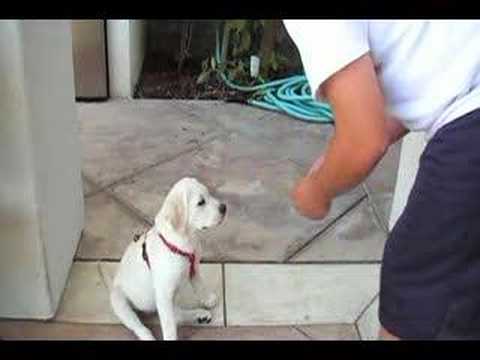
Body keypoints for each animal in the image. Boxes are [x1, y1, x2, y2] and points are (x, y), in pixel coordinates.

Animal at [110, 177, 227, 340]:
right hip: (120, 301)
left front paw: (207, 299)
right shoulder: (163, 293)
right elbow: (169, 326)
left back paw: (199, 314)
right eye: (201, 202)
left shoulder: (194, 268)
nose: (224, 207)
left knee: (177, 315)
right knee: (139, 326)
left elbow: (200, 285)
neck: (185, 239)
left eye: (209, 194)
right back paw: (148, 336)